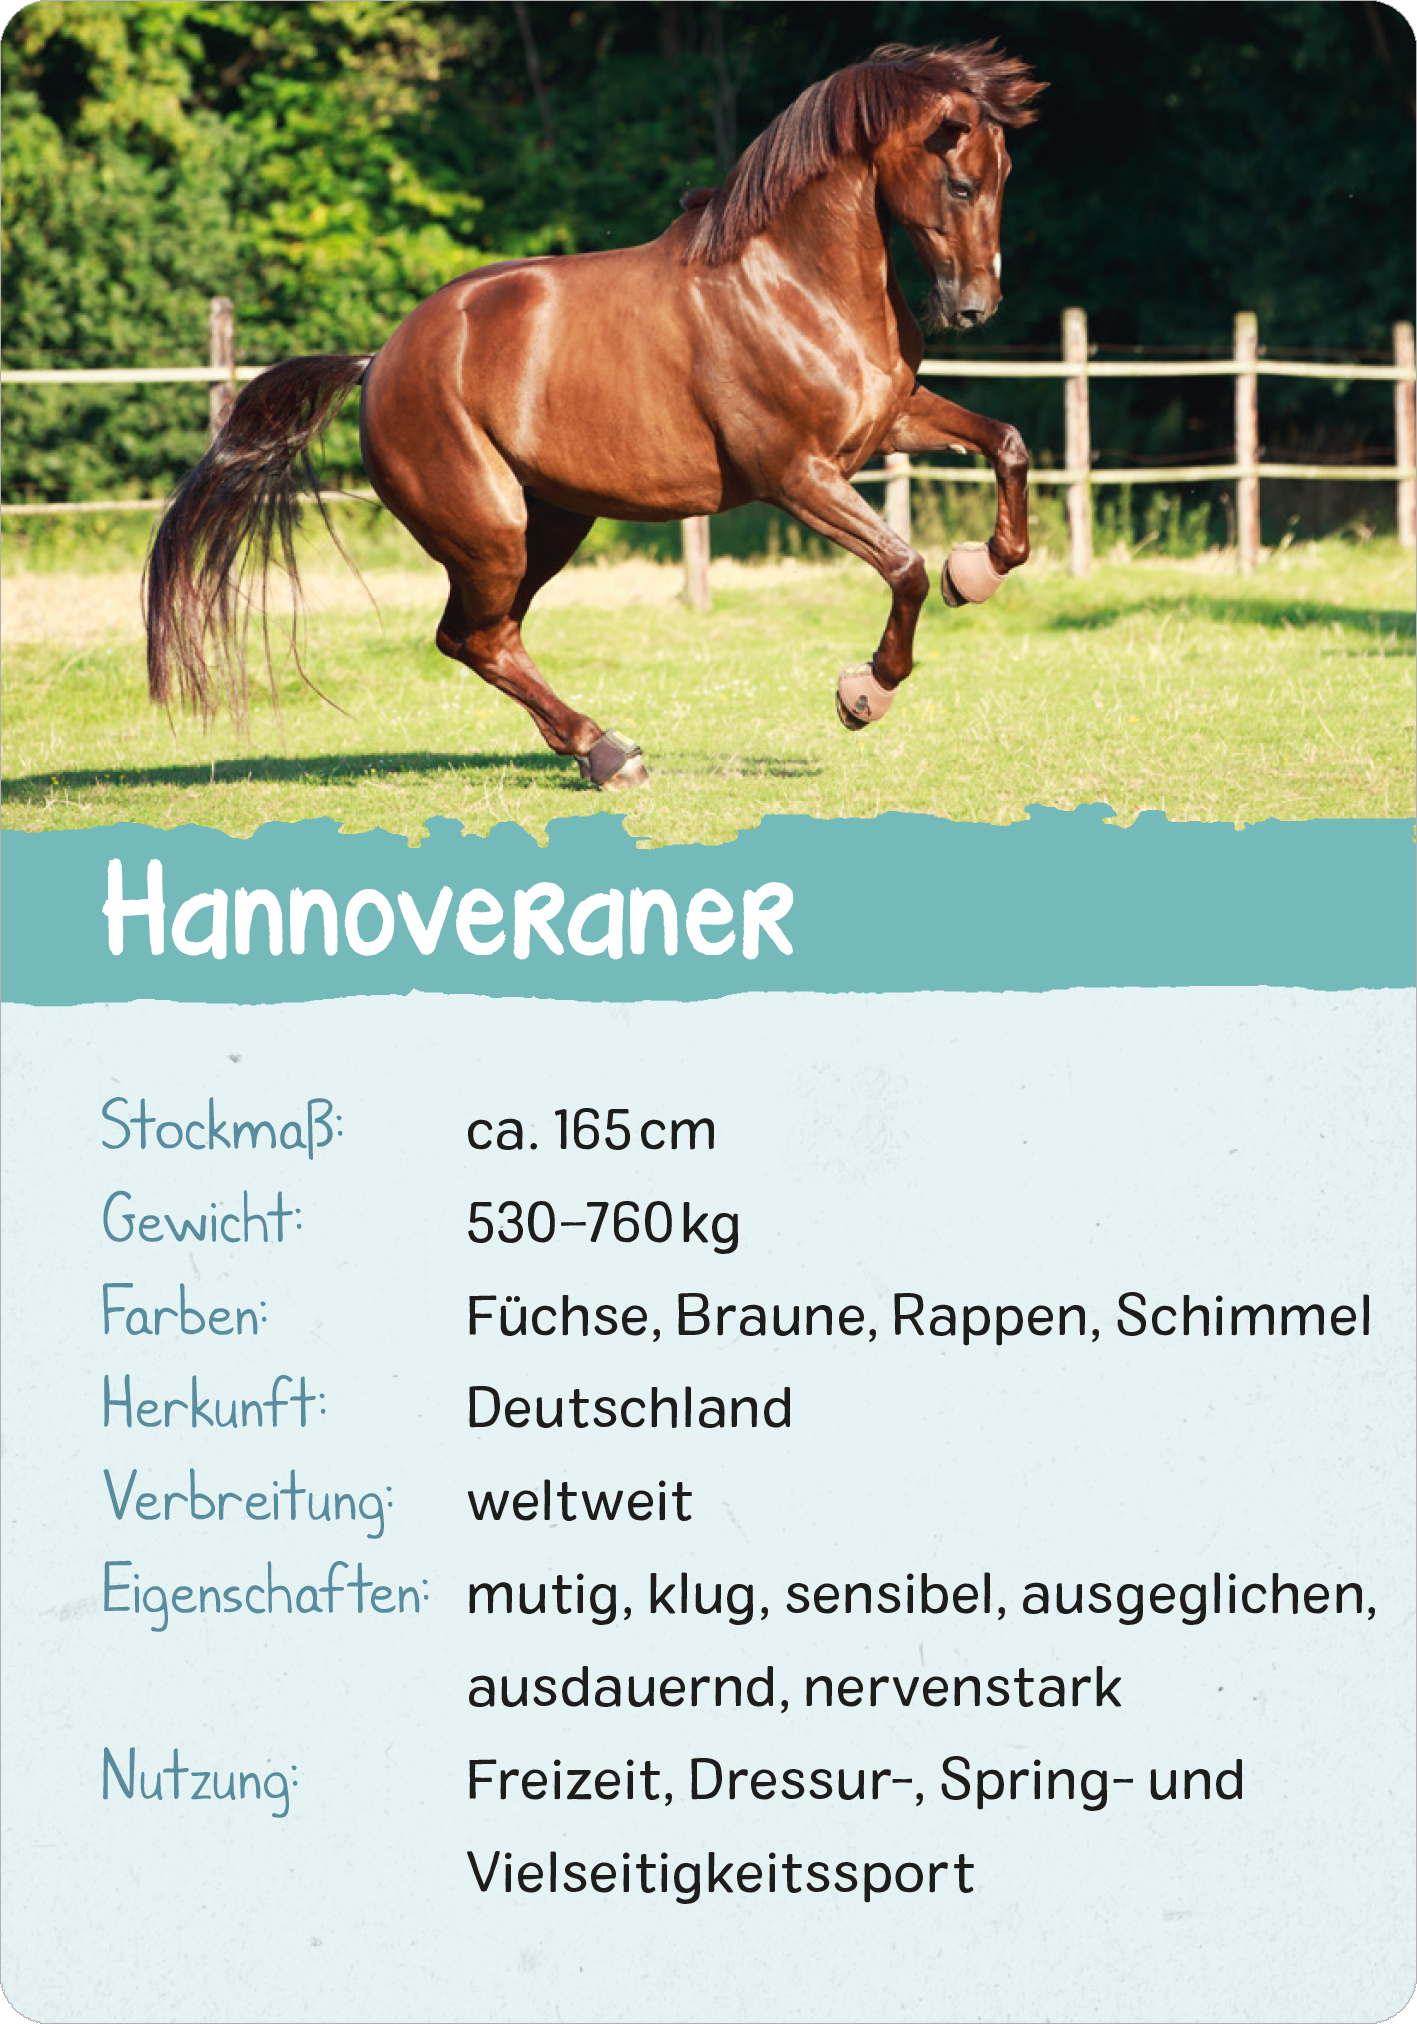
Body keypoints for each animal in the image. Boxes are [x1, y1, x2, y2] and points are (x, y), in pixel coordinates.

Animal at [145, 40, 1043, 791]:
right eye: (960, 183)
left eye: (1004, 179)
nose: (974, 308)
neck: (795, 285)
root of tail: (377, 363)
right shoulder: (796, 475)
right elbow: (904, 567)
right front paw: (864, 692)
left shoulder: (885, 426)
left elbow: (1007, 445)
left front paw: (979, 568)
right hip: (493, 532)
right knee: (478, 638)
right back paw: (608, 753)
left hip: (550, 525)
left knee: (478, 637)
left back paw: (597, 750)